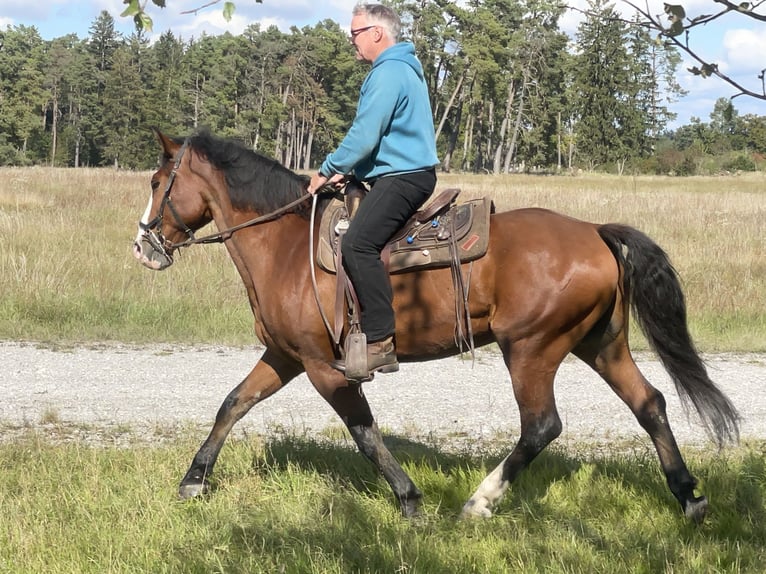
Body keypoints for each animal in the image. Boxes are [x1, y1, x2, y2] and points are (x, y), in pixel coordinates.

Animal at [134, 130, 744, 528]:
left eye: (159, 181)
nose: (144, 246)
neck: (286, 246)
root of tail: (594, 231)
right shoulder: (285, 356)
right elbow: (232, 405)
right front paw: (194, 480)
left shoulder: (325, 368)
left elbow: (365, 433)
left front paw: (409, 500)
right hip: (602, 345)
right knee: (650, 404)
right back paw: (688, 497)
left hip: (532, 349)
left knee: (542, 426)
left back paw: (479, 501)